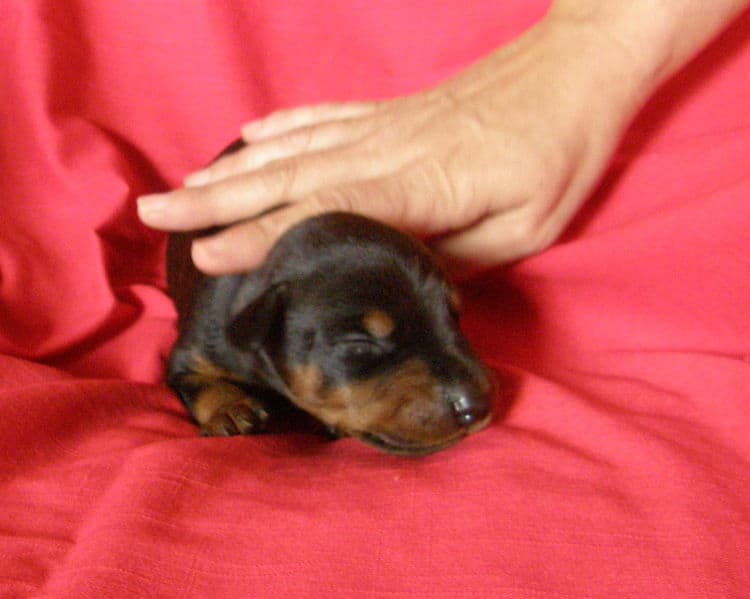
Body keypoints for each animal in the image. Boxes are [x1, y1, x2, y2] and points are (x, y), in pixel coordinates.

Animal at [167, 152, 494, 458]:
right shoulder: (199, 345)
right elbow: (200, 381)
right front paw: (230, 408)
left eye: (454, 316)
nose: (479, 405)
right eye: (360, 344)